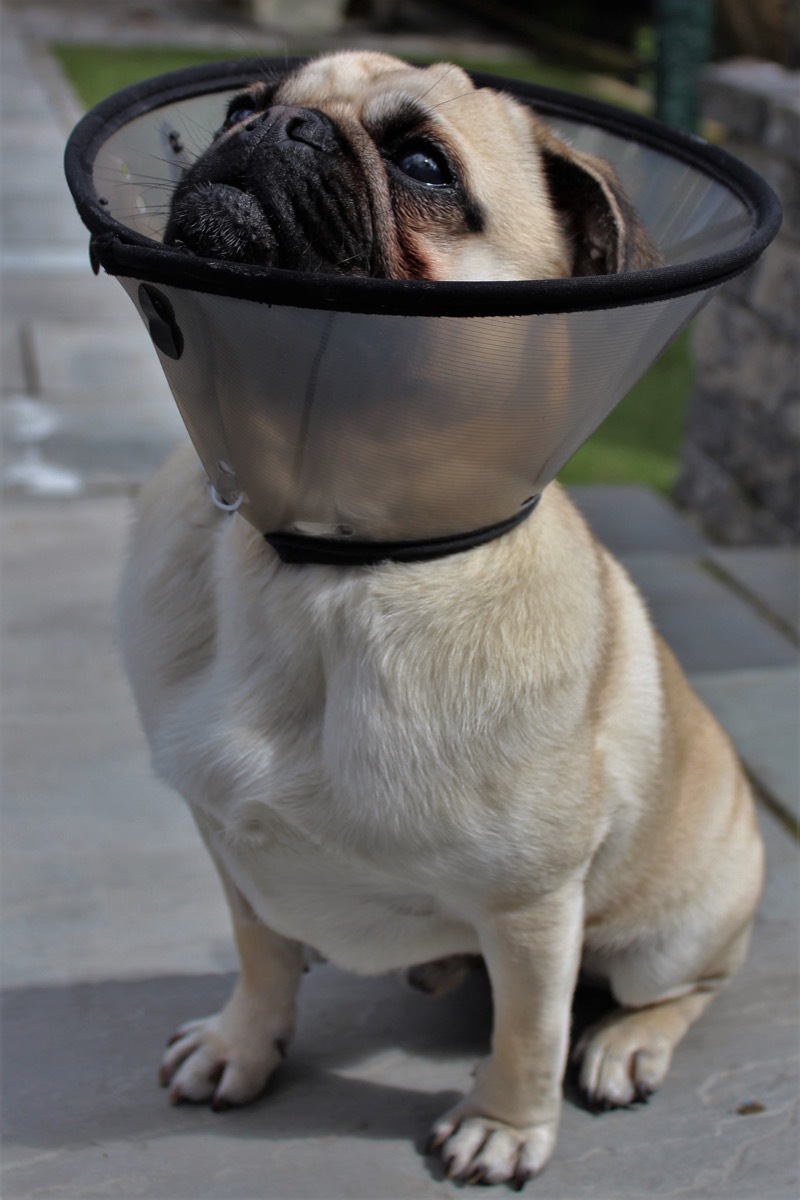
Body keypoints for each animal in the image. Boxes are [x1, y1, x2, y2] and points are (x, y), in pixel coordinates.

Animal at [122, 51, 767, 1185]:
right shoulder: (228, 846)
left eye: (421, 163)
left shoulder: (529, 907)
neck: (327, 558)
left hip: (670, 933)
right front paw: (243, 1044)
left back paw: (626, 1046)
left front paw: (504, 1126)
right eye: (241, 103)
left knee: (674, 991)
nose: (274, 126)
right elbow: (260, 953)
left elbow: (528, 1031)